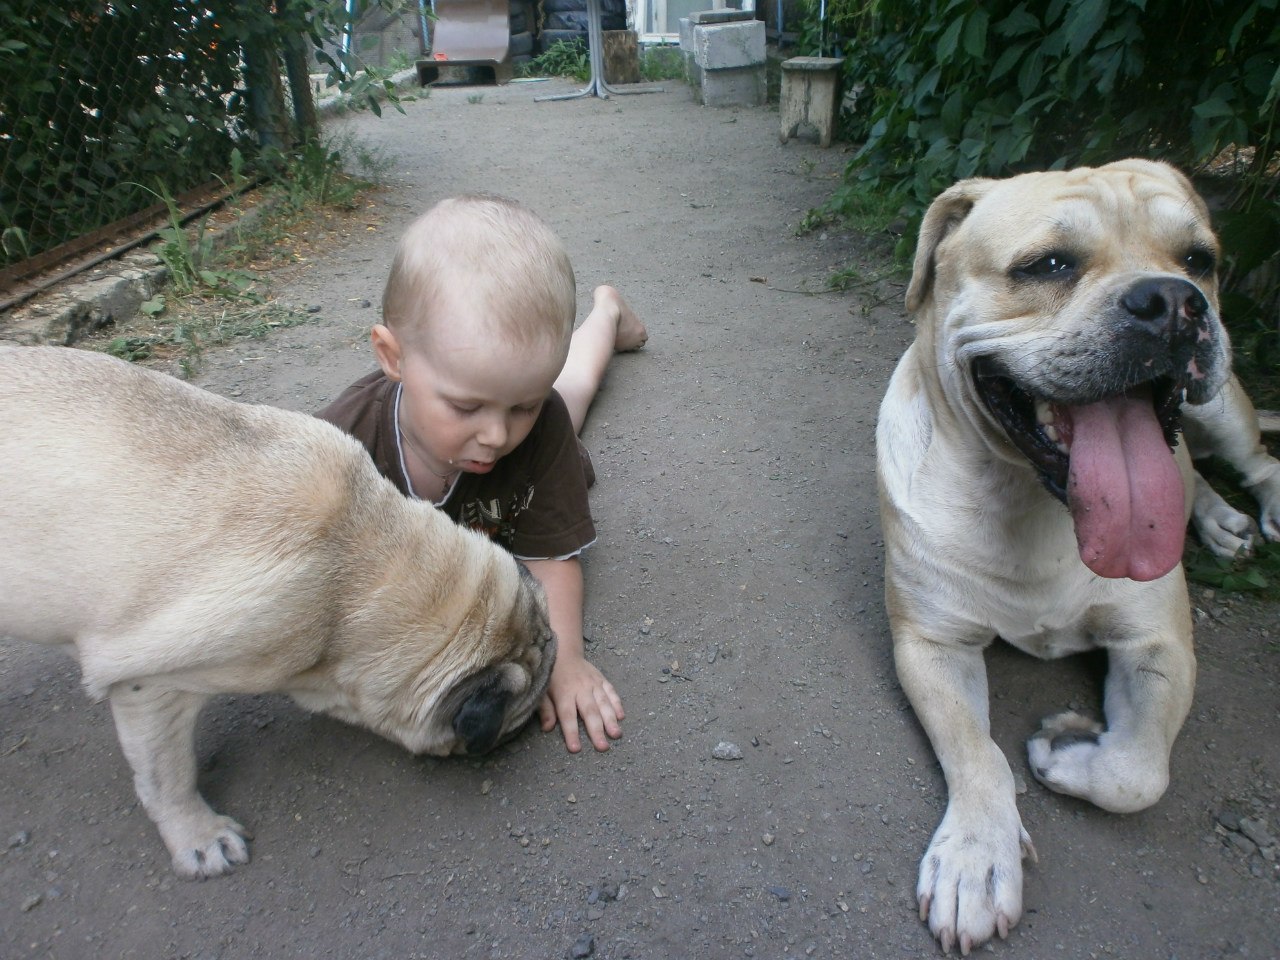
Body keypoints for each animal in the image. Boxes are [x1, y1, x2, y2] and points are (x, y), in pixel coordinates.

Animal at [875, 158, 1274, 957]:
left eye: (1199, 259)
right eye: (1049, 265)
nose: (1174, 302)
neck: (1035, 506)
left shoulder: (1157, 643)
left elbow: (1138, 768)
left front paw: (1067, 750)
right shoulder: (932, 645)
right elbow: (978, 753)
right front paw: (976, 857)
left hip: (1222, 410)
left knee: (1255, 462)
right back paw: (1219, 521)